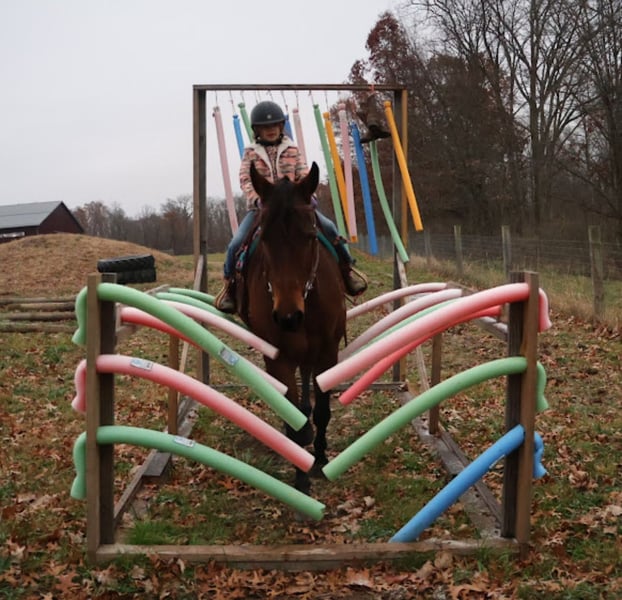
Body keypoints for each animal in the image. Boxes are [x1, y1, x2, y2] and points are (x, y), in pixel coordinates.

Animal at [237, 161, 346, 495]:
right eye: (264, 238)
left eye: (310, 236)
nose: (288, 318)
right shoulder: (279, 358)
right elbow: (293, 420)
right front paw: (301, 479)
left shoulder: (328, 352)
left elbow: (323, 410)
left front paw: (321, 458)